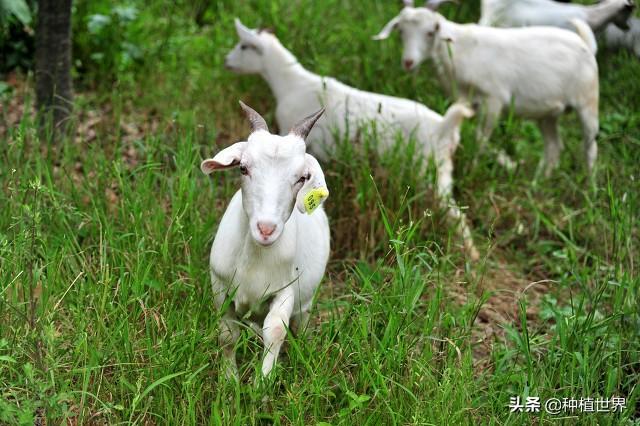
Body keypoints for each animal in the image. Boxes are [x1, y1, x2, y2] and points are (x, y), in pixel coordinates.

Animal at [200, 101, 330, 378]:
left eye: (302, 178)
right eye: (243, 168)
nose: (266, 228)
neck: (255, 260)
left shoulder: (286, 290)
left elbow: (277, 331)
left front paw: (264, 382)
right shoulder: (220, 286)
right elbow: (227, 335)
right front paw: (230, 379)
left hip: (306, 300)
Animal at [228, 18, 478, 260]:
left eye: (243, 46)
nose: (226, 61)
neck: (291, 83)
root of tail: (445, 126)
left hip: (431, 171)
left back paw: (472, 256)